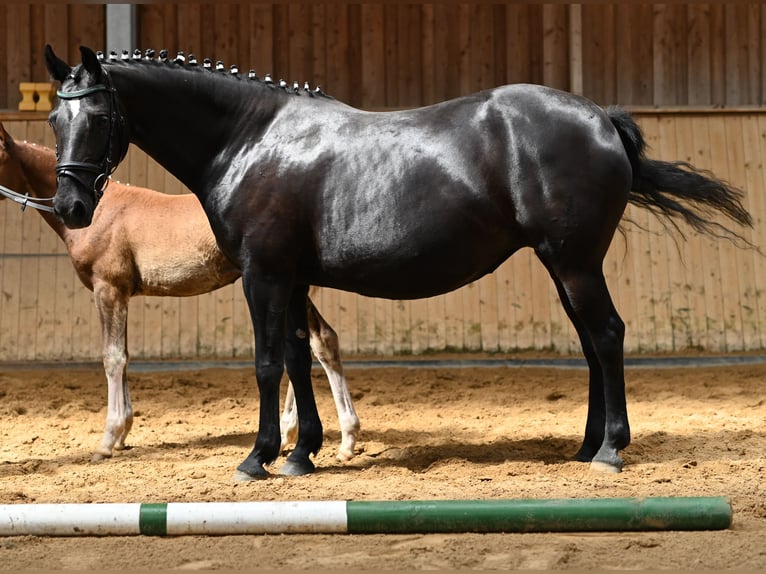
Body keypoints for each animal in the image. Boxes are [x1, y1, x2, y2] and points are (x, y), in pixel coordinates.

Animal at [45, 45, 752, 480]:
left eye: (99, 114)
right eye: (54, 117)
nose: (72, 205)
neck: (251, 140)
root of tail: (599, 117)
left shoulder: (263, 274)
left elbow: (269, 362)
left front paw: (258, 457)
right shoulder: (292, 278)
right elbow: (300, 358)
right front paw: (302, 454)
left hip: (575, 262)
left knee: (605, 336)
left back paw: (608, 449)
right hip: (564, 266)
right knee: (589, 343)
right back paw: (584, 446)